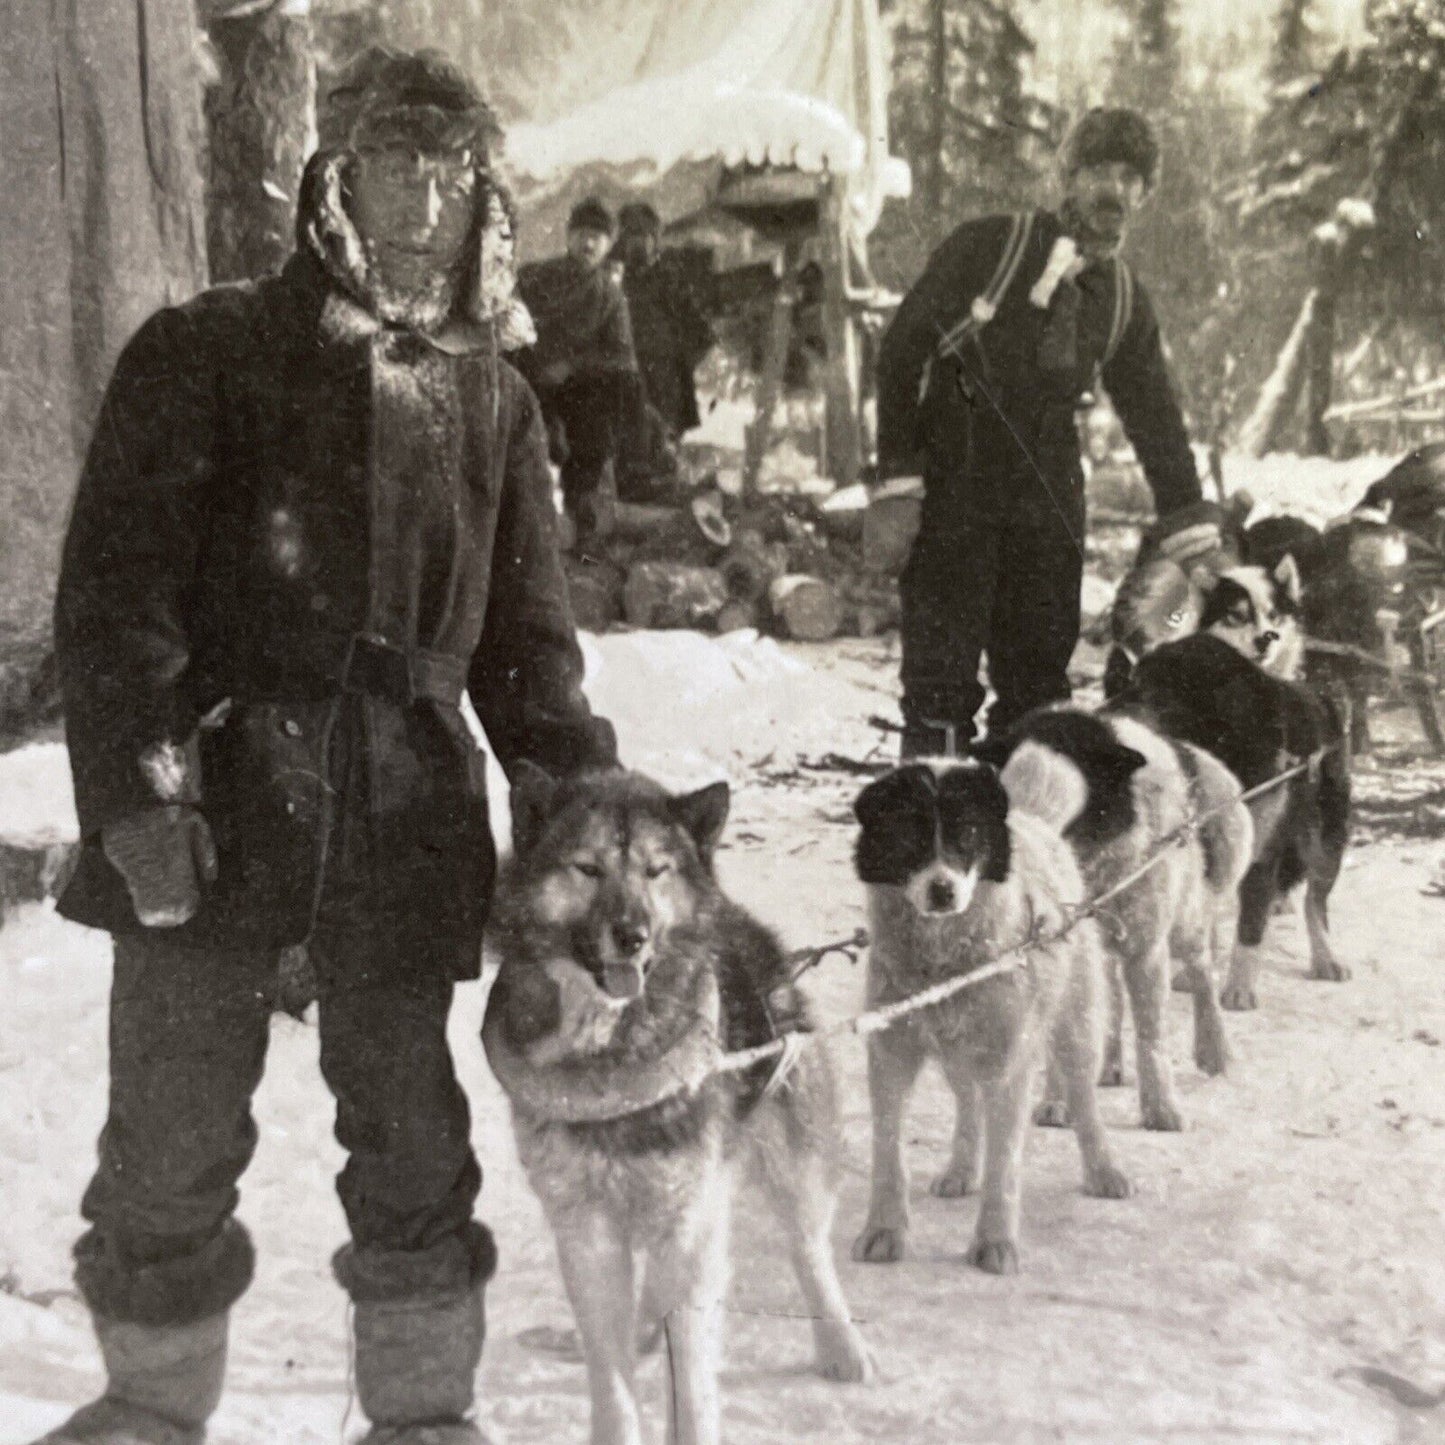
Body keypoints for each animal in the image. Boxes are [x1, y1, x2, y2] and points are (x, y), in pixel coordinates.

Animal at [482, 762, 867, 1439]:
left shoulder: (687, 1225)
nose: (632, 936)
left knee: (809, 1250)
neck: (611, 1054)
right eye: (587, 868)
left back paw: (841, 1348)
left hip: (789, 1162)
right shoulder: (586, 1231)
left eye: (656, 870)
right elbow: (611, 1379)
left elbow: (687, 1378)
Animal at [843, 757, 1127, 1277]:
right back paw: (960, 1170)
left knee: (1084, 1100)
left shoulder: (1009, 1067)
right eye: (907, 830)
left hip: (1075, 1027)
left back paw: (1104, 1171)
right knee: (968, 1104)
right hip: (958, 1054)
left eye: (968, 832)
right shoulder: (891, 1058)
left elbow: (1004, 1164)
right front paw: (884, 1231)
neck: (945, 966)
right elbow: (888, 1153)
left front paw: (995, 1241)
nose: (942, 890)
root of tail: (1031, 819)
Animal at [976, 705, 1260, 1132]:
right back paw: (1108, 1065)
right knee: (1111, 997)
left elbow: (1151, 1035)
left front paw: (1162, 1108)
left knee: (1201, 973)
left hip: (1184, 925)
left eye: (1062, 799)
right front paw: (1056, 1101)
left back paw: (1215, 1050)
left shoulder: (1147, 950)